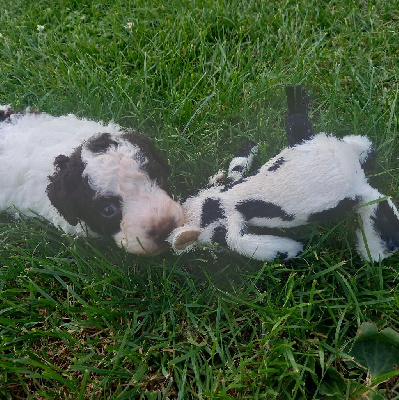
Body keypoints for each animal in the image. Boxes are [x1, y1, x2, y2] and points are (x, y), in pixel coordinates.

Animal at [168, 133, 399, 260]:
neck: (215, 203)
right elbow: (238, 165)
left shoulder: (230, 224)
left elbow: (242, 243)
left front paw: (292, 250)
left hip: (360, 196)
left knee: (378, 206)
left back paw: (375, 254)